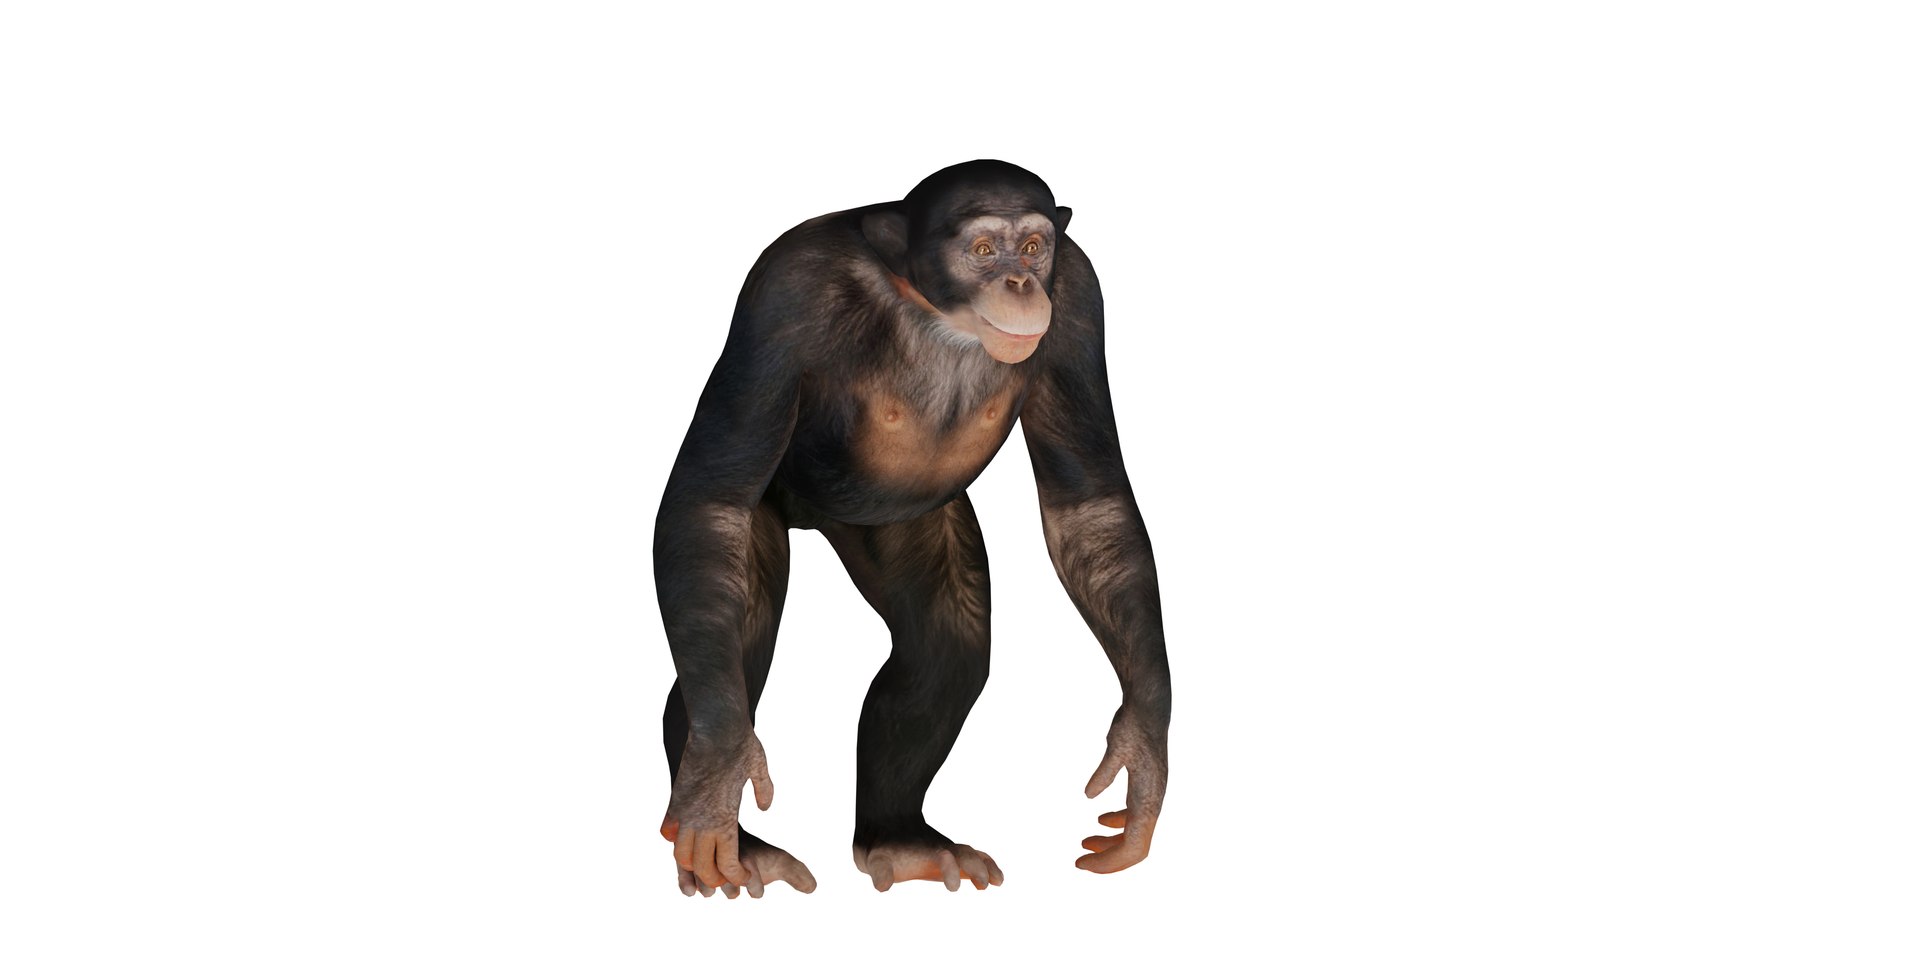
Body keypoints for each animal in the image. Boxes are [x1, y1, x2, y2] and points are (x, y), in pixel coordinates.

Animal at [656, 160, 1170, 897]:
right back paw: (734, 837)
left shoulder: (1078, 300)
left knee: (944, 641)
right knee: (733, 628)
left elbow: (1089, 506)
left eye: (1034, 247)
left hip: (902, 521)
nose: (1020, 283)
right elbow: (710, 499)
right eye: (983, 250)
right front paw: (716, 780)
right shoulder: (784, 292)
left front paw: (1142, 747)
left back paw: (899, 840)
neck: (931, 306)